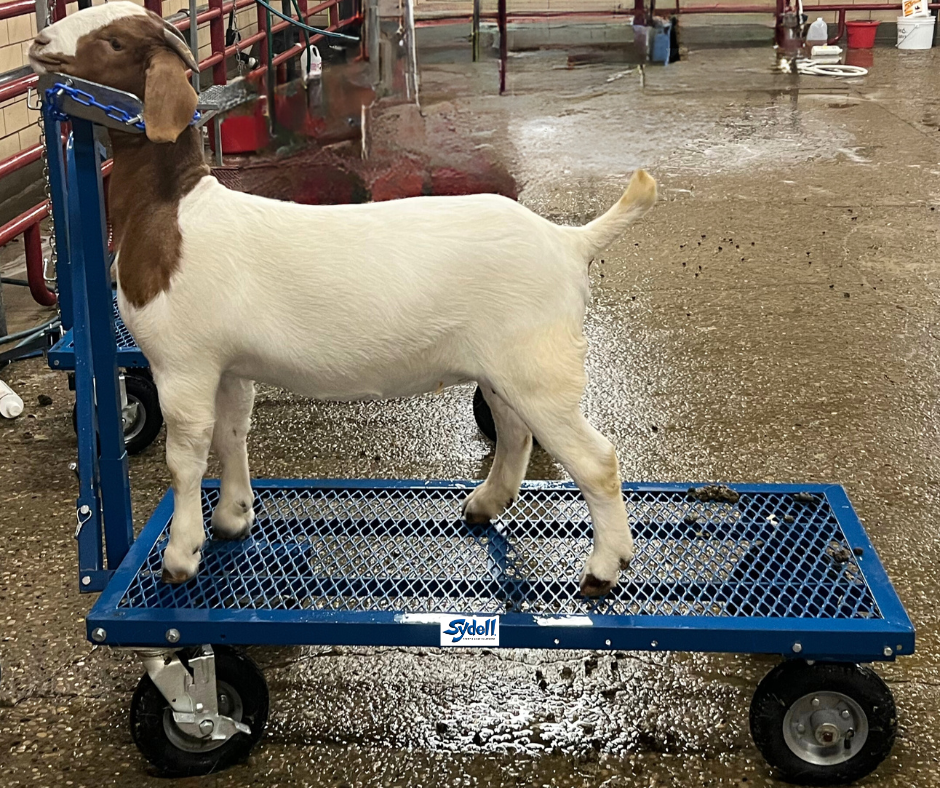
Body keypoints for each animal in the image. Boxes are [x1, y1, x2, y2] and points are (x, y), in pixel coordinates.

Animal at [30, 2, 657, 597]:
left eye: (114, 42)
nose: (39, 41)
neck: (174, 210)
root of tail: (570, 241)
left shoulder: (181, 364)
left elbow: (184, 459)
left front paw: (181, 556)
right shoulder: (227, 366)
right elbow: (232, 435)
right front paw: (234, 518)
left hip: (538, 367)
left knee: (597, 460)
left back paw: (603, 570)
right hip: (502, 368)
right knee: (515, 433)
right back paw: (484, 505)